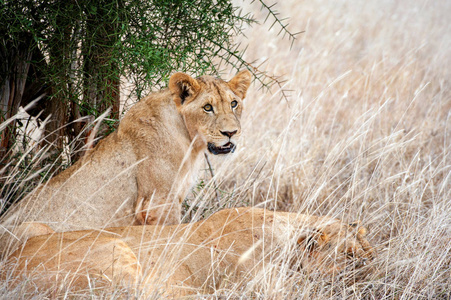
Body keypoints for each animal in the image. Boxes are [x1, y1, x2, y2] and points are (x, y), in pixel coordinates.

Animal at [0, 70, 252, 255]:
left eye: (234, 104)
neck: (191, 141)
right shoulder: (158, 202)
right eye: (207, 107)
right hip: (34, 227)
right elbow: (173, 235)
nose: (231, 133)